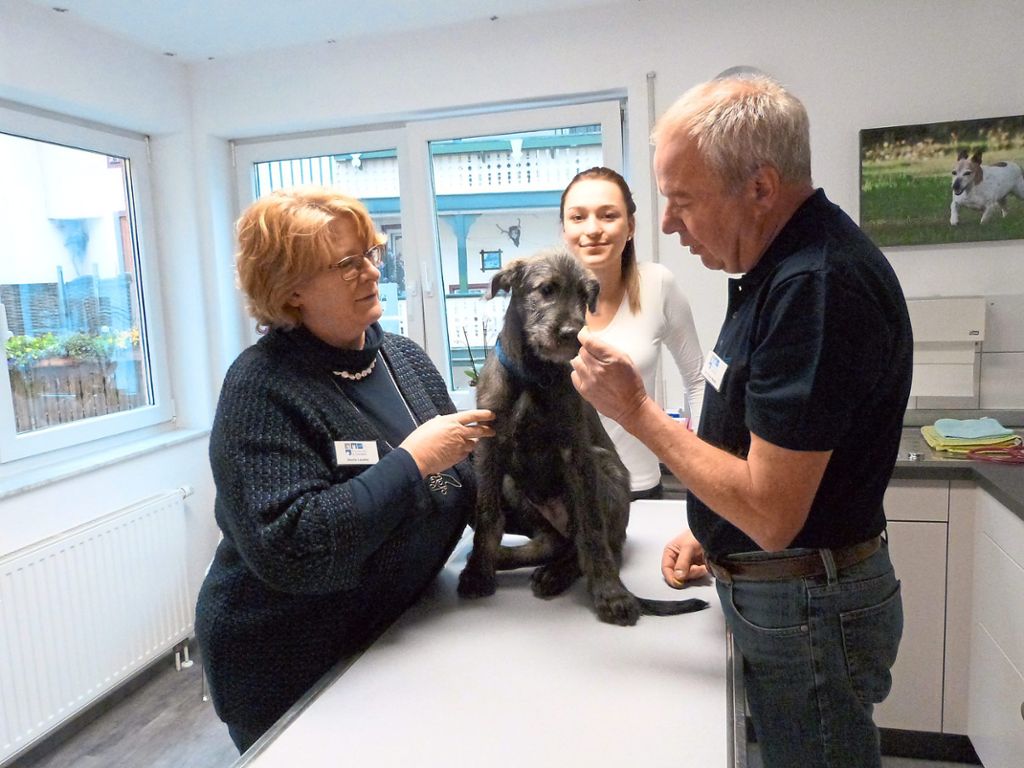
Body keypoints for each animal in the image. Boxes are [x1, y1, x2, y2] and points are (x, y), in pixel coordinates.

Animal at [460, 249, 708, 626]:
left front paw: (610, 593)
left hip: (604, 467)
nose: (573, 333)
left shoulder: (575, 452)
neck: (534, 374)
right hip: (513, 486)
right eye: (546, 289)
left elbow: (591, 531)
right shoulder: (490, 449)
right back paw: (509, 558)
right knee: (551, 542)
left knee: (598, 545)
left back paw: (558, 573)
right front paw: (478, 571)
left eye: (584, 296)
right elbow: (489, 515)